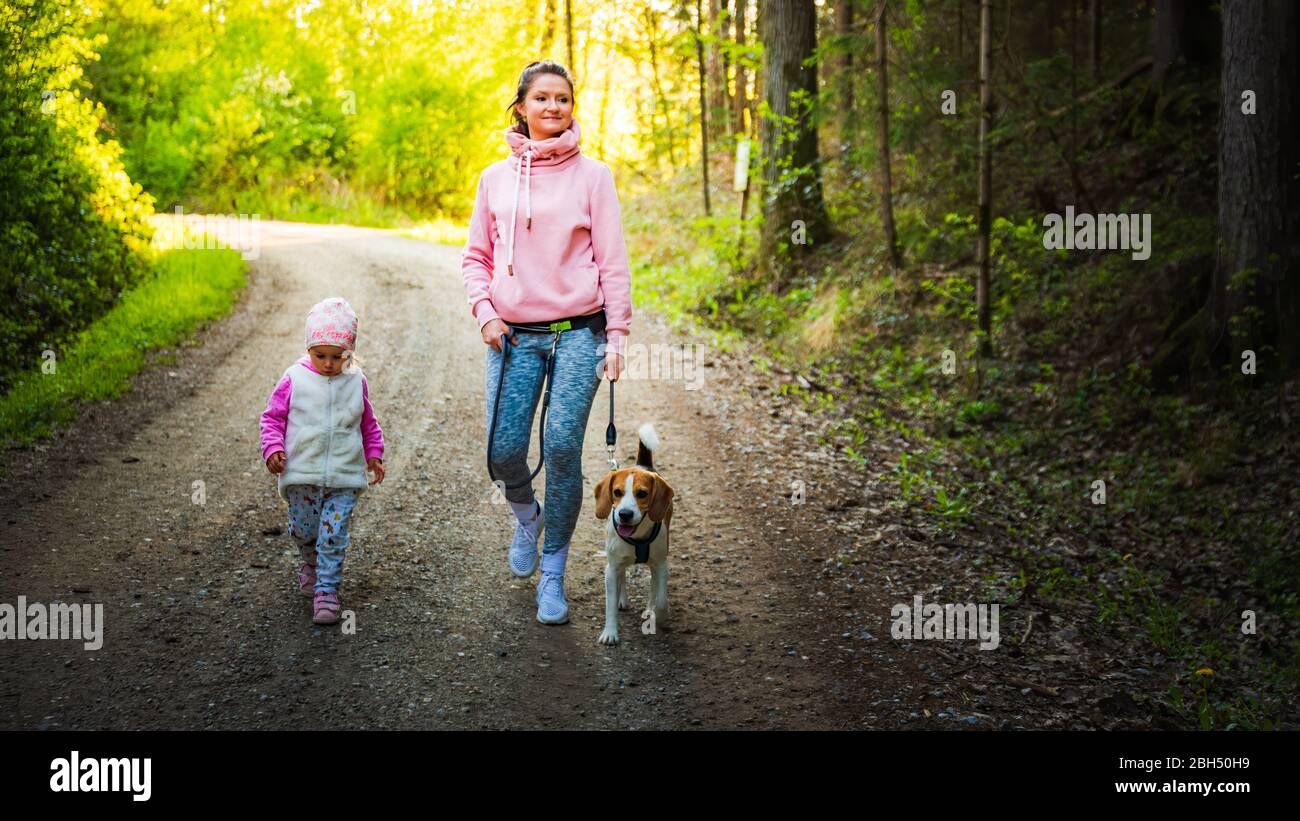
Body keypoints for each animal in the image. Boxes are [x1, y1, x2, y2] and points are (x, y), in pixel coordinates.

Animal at [595, 423, 676, 646]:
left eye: (642, 494)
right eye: (617, 492)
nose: (624, 514)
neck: (637, 537)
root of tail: (642, 464)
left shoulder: (661, 565)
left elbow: (661, 599)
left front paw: (658, 615)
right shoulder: (611, 567)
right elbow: (610, 605)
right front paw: (610, 633)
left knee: (653, 588)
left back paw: (649, 609)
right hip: (617, 560)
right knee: (622, 574)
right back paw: (623, 599)